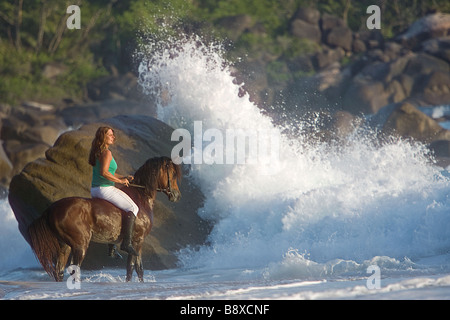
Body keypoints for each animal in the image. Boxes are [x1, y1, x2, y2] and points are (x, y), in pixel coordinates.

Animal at [26, 156, 180, 282]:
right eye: (172, 174)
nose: (177, 196)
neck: (141, 197)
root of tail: (52, 208)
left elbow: (136, 269)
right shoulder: (138, 241)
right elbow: (134, 268)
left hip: (65, 246)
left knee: (60, 271)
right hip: (80, 245)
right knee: (74, 270)